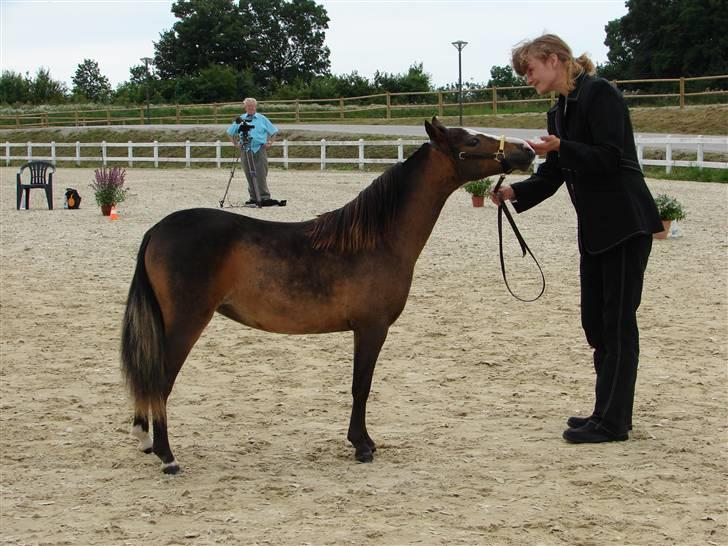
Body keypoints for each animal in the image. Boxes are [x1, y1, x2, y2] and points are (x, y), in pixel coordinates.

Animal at [121, 116, 536, 472]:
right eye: (472, 141)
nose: (528, 150)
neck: (377, 238)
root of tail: (157, 230)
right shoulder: (371, 328)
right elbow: (361, 386)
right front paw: (362, 445)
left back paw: (145, 439)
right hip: (186, 322)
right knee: (159, 381)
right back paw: (168, 456)